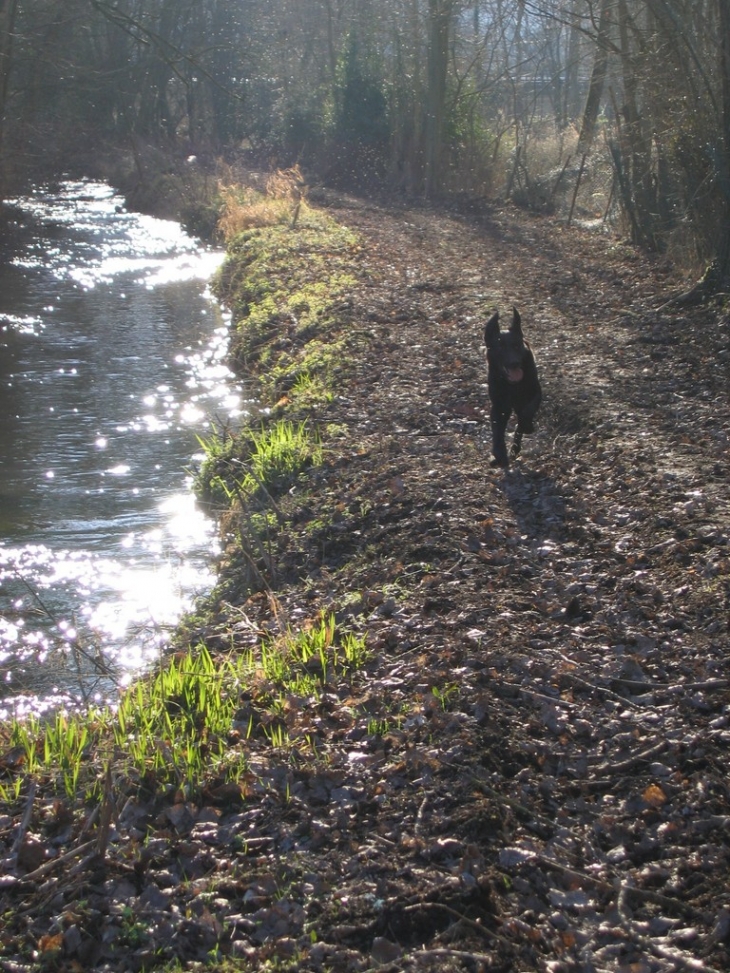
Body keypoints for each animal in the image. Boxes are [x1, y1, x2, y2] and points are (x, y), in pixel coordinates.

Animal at [484, 308, 540, 468]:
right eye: (500, 347)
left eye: (516, 345)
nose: (514, 363)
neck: (511, 385)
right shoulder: (499, 406)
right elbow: (497, 429)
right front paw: (499, 454)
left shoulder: (535, 393)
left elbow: (527, 411)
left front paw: (526, 425)